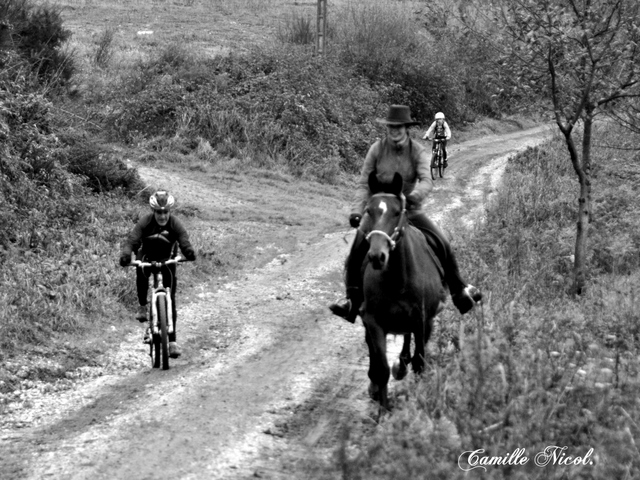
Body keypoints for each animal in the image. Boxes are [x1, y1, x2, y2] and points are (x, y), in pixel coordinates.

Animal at [360, 172, 444, 408]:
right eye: (368, 211)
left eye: (397, 212)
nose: (377, 256)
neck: (397, 281)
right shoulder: (374, 323)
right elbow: (381, 369)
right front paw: (382, 410)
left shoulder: (422, 320)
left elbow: (420, 362)